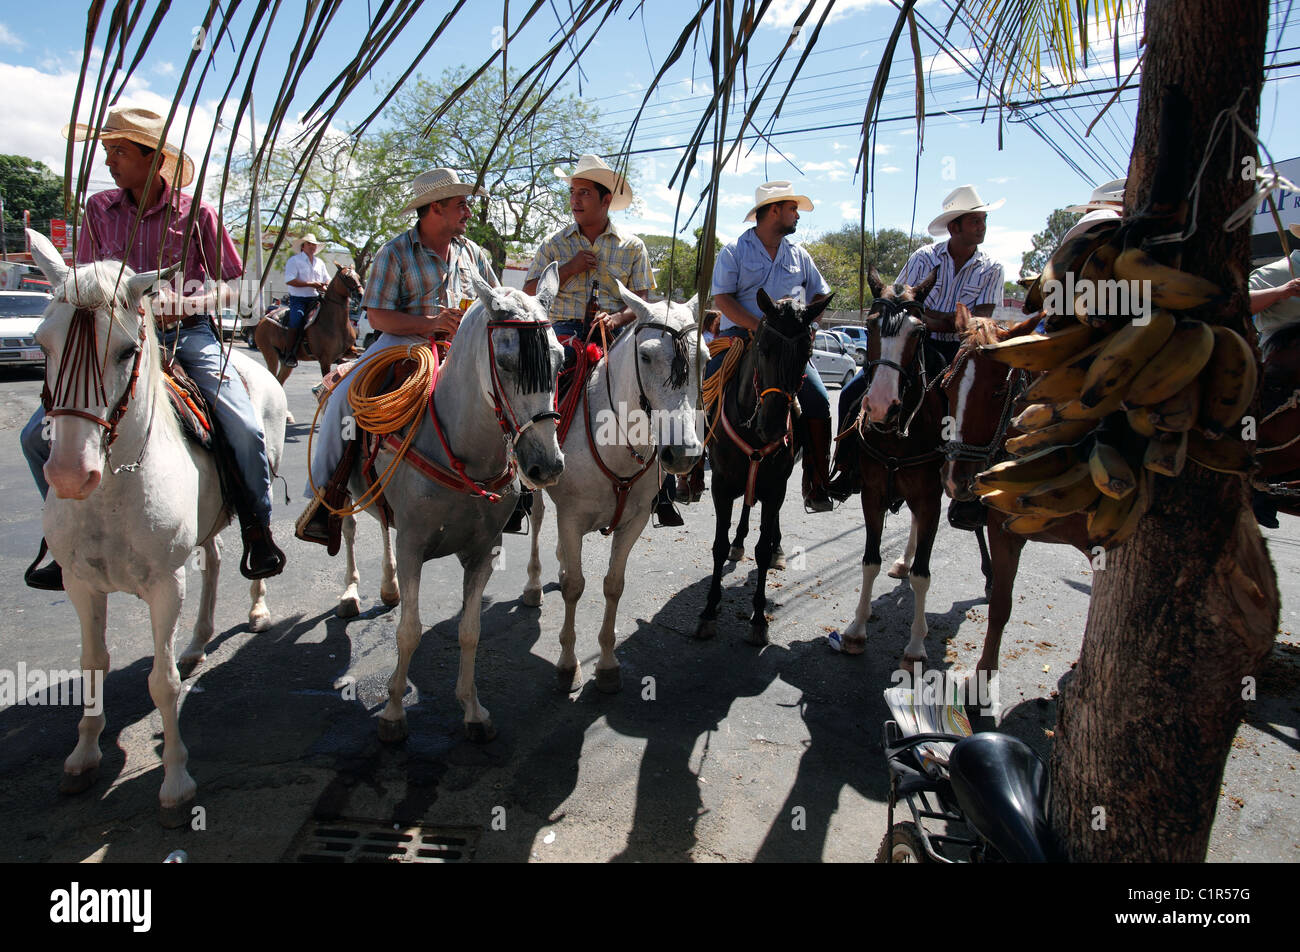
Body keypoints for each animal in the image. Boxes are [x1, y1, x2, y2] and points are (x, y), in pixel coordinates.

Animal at [26, 230, 286, 827]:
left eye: (125, 351)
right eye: (42, 344)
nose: (70, 474)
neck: (112, 490)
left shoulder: (166, 586)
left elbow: (162, 684)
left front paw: (175, 782)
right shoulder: (81, 585)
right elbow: (93, 664)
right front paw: (83, 756)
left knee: (252, 542)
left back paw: (256, 609)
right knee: (214, 561)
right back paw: (198, 639)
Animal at [335, 264, 564, 738]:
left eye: (560, 361)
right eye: (506, 362)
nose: (546, 465)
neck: (460, 450)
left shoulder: (483, 551)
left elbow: (470, 630)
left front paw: (472, 710)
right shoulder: (413, 546)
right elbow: (409, 631)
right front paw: (393, 714)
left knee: (381, 523)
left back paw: (387, 587)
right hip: (343, 491)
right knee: (349, 530)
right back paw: (350, 592)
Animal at [517, 282, 707, 691]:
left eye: (704, 356)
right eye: (646, 356)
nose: (683, 453)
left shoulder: (633, 523)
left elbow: (613, 585)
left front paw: (606, 664)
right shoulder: (571, 518)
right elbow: (575, 587)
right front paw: (568, 664)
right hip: (537, 483)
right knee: (538, 521)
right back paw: (534, 586)